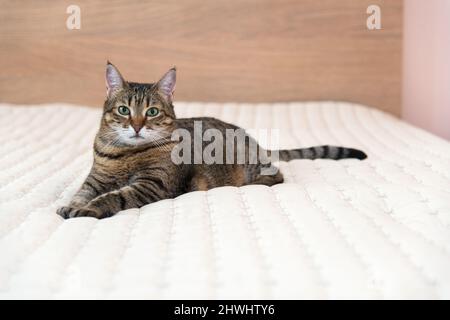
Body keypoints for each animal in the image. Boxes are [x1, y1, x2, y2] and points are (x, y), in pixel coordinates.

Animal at [57, 62, 366, 220]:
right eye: (123, 110)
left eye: (152, 112)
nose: (136, 126)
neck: (127, 154)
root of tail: (254, 140)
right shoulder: (96, 179)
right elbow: (83, 192)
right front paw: (72, 205)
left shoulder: (152, 186)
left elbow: (114, 196)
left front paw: (88, 210)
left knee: (277, 175)